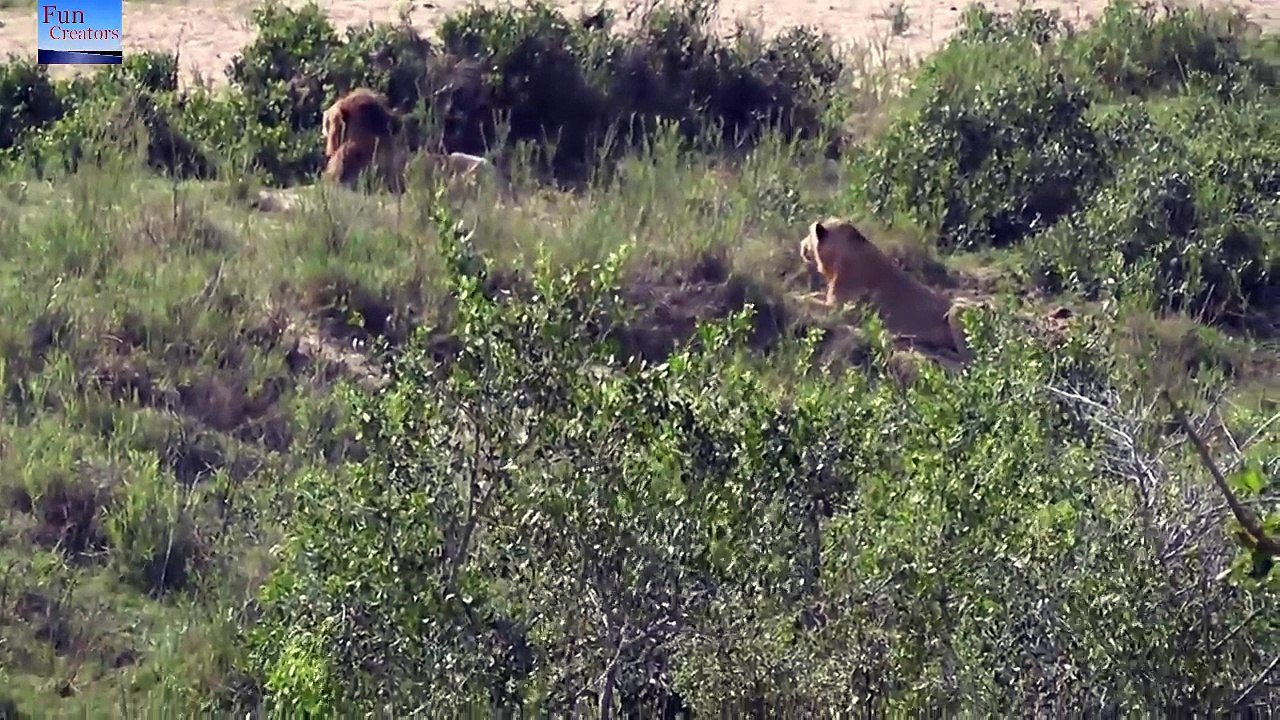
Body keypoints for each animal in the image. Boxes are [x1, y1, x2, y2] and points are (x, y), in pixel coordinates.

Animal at [799, 217, 975, 364]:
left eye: (809, 233)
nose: (801, 244)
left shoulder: (842, 310)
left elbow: (811, 301)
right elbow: (814, 295)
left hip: (957, 312)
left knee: (971, 359)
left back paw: (942, 351)